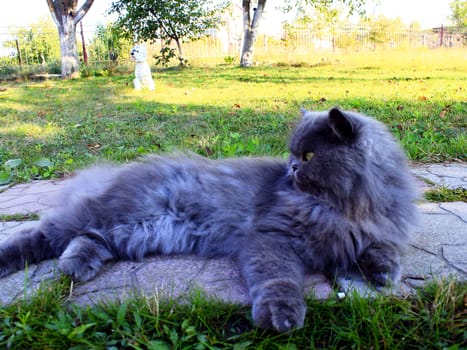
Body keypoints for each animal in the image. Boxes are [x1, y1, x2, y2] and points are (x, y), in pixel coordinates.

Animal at [0, 108, 416, 332]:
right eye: (294, 154)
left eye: (310, 156)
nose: (292, 168)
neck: (345, 206)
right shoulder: (271, 238)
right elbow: (279, 280)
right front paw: (281, 316)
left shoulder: (379, 229)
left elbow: (383, 249)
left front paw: (384, 274)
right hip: (111, 215)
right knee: (41, 235)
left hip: (128, 233)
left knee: (89, 239)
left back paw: (75, 267)